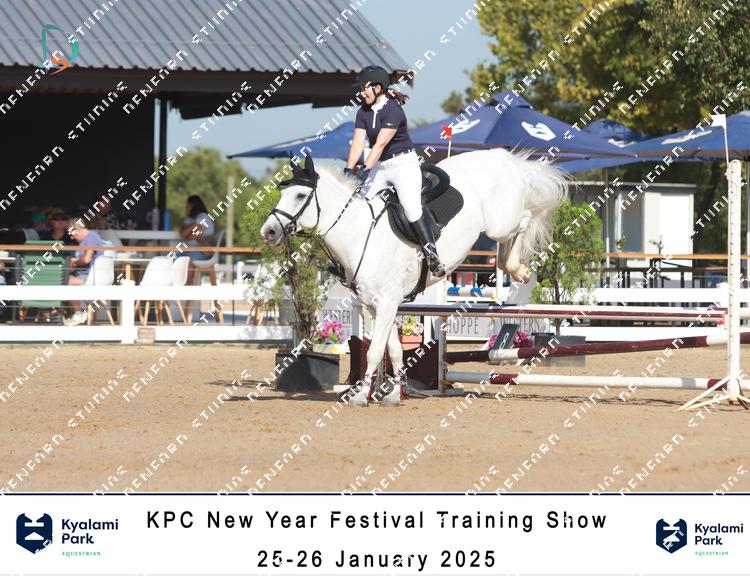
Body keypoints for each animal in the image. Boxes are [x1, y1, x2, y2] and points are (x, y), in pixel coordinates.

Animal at [260, 148, 568, 406]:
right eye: (284, 194)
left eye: (300, 196)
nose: (269, 232)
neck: (359, 235)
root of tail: (500, 155)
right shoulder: (378, 306)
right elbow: (394, 350)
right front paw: (394, 394)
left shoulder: (387, 303)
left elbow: (374, 351)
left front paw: (361, 396)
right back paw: (512, 266)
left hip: (500, 222)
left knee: (526, 219)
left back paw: (516, 267)